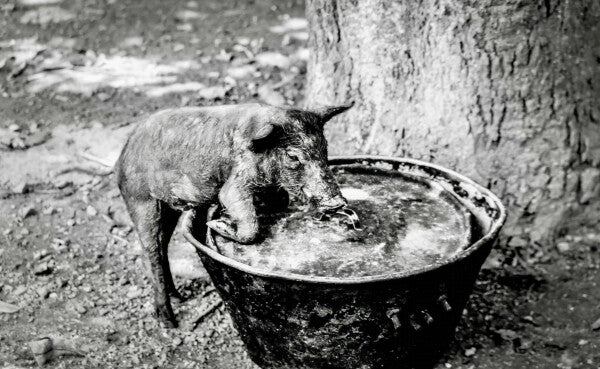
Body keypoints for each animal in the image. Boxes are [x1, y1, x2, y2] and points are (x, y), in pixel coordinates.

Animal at [113, 101, 352, 324]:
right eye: (293, 157)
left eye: (325, 149)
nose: (338, 202)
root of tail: (122, 154)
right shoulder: (235, 183)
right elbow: (244, 217)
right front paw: (216, 224)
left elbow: (280, 202)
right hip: (141, 201)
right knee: (151, 254)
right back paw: (169, 321)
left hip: (168, 208)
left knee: (162, 248)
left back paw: (178, 297)